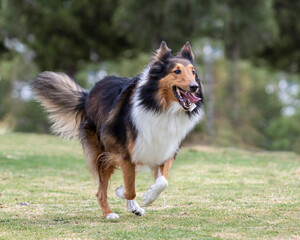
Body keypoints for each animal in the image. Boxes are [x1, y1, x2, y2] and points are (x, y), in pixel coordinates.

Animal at [32, 41, 204, 219]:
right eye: (176, 71)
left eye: (193, 72)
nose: (194, 87)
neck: (160, 107)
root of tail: (87, 96)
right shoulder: (125, 154)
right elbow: (130, 189)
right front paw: (121, 191)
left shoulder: (165, 150)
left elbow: (162, 182)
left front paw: (148, 197)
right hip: (103, 154)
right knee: (101, 192)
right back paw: (109, 213)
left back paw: (134, 207)